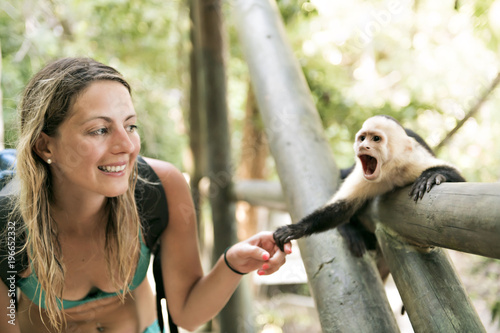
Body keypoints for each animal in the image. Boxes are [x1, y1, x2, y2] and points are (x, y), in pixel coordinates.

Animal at [274, 114, 464, 254]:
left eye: (376, 139)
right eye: (362, 138)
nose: (363, 146)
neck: (388, 170)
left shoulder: (411, 162)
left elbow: (459, 179)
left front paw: (433, 175)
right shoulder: (361, 175)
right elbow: (342, 207)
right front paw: (295, 229)